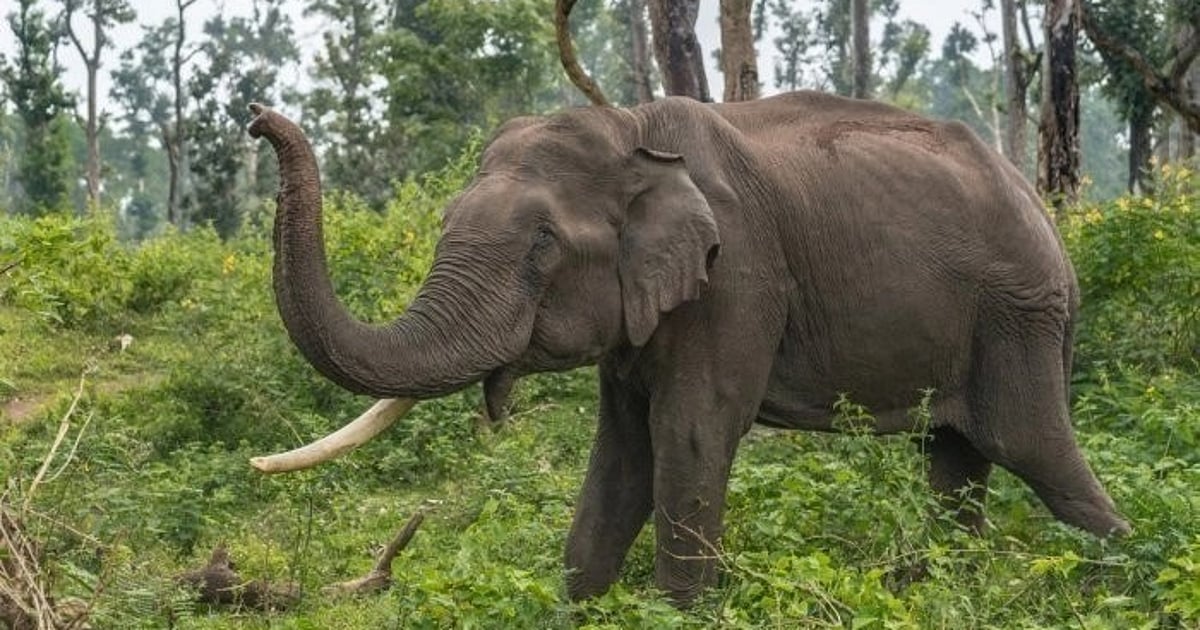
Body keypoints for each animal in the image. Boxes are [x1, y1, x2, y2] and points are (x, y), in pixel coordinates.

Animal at [245, 91, 1129, 605]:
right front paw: (579, 603)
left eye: (541, 247)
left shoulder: (736, 274)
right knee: (954, 461)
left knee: (1034, 450)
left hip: (1020, 316)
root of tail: (1046, 210)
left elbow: (690, 433)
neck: (632, 133)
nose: (257, 118)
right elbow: (622, 451)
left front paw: (678, 612)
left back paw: (1122, 574)